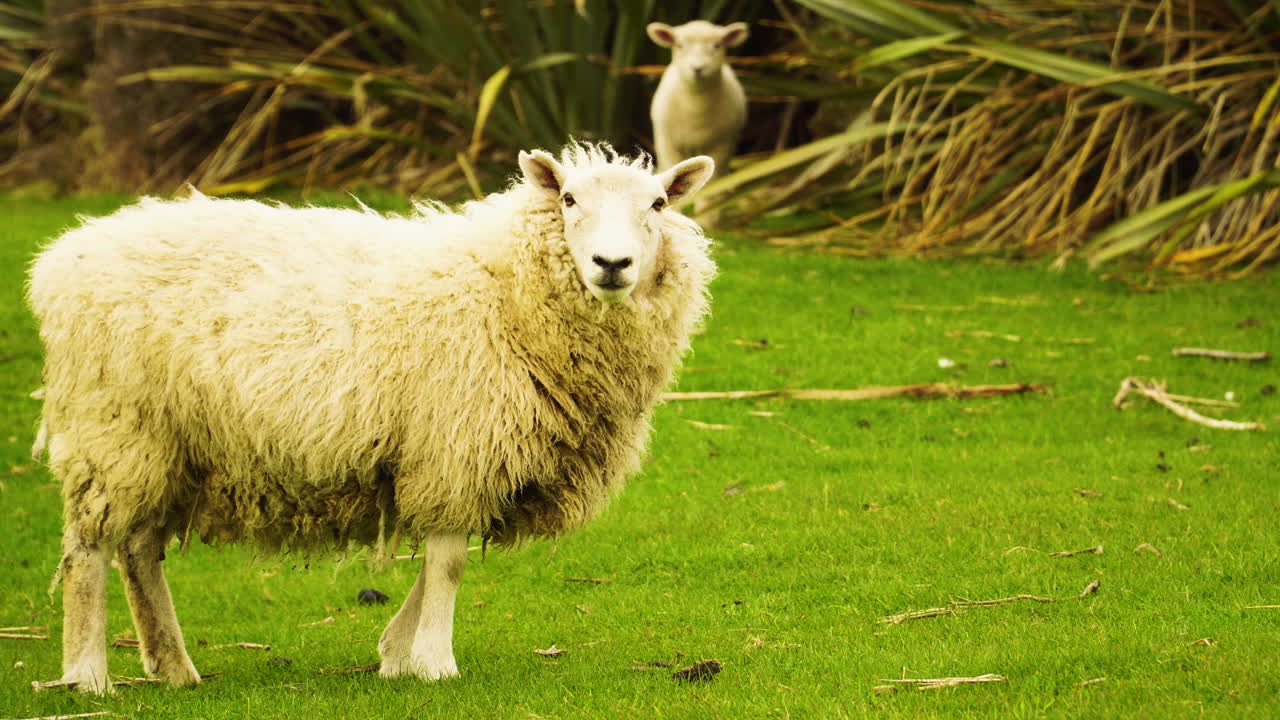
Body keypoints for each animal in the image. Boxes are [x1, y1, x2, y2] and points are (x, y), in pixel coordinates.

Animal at [26, 142, 716, 694]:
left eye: (658, 204)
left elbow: (439, 559)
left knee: (139, 550)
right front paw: (435, 662)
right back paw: (87, 676)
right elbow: (449, 562)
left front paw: (397, 652)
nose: (612, 265)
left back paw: (173, 669)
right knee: (88, 551)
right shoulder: (455, 444)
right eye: (569, 199)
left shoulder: (456, 456)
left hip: (167, 444)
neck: (504, 287)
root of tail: (62, 257)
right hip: (112, 426)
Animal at [647, 19, 749, 221]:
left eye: (717, 45)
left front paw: (707, 217)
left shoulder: (722, 144)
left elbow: (713, 181)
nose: (698, 68)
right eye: (679, 45)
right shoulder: (668, 142)